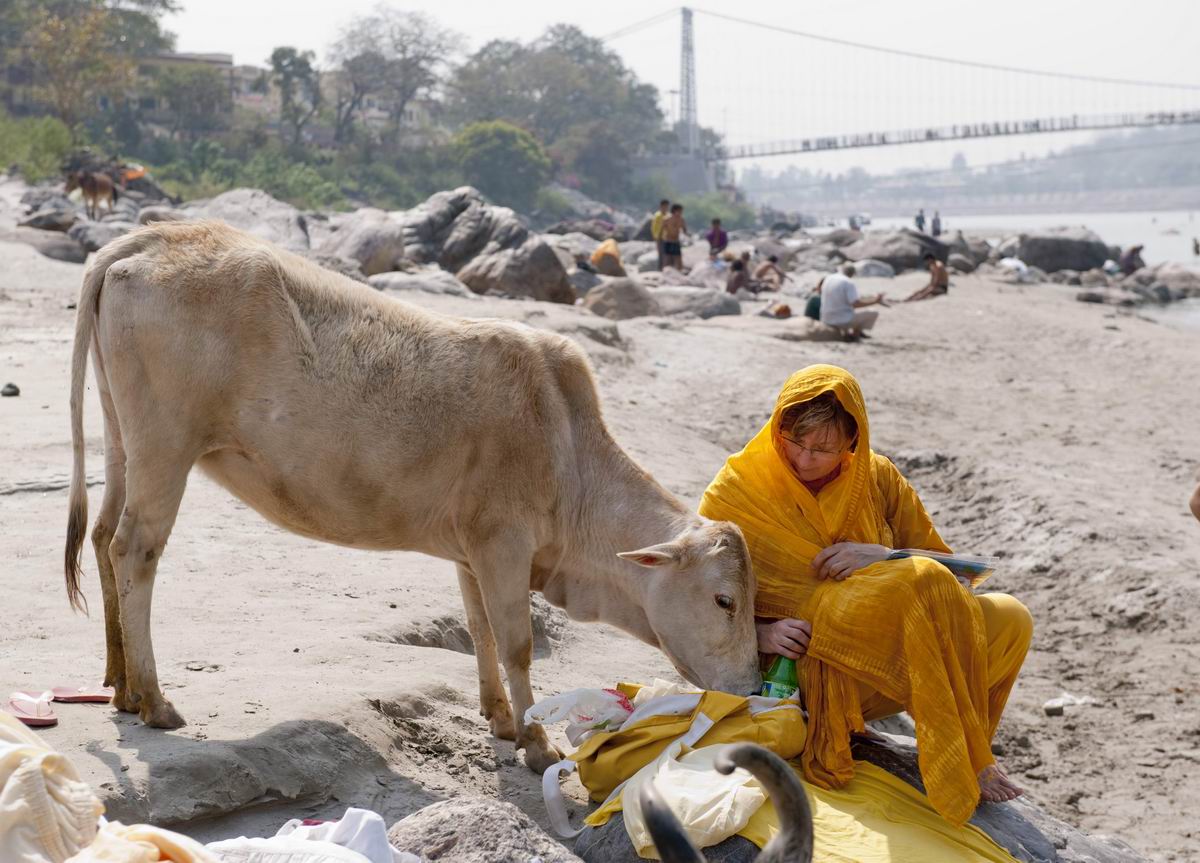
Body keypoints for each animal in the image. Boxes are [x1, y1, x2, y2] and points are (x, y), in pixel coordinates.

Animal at [63, 220, 758, 768]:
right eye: (724, 600)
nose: (752, 686)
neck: (568, 450)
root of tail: (152, 236)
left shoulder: (472, 549)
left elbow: (479, 630)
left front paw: (500, 719)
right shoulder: (503, 543)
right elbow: (517, 643)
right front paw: (536, 743)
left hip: (123, 437)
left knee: (100, 535)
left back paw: (120, 686)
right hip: (167, 446)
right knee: (134, 550)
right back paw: (154, 700)